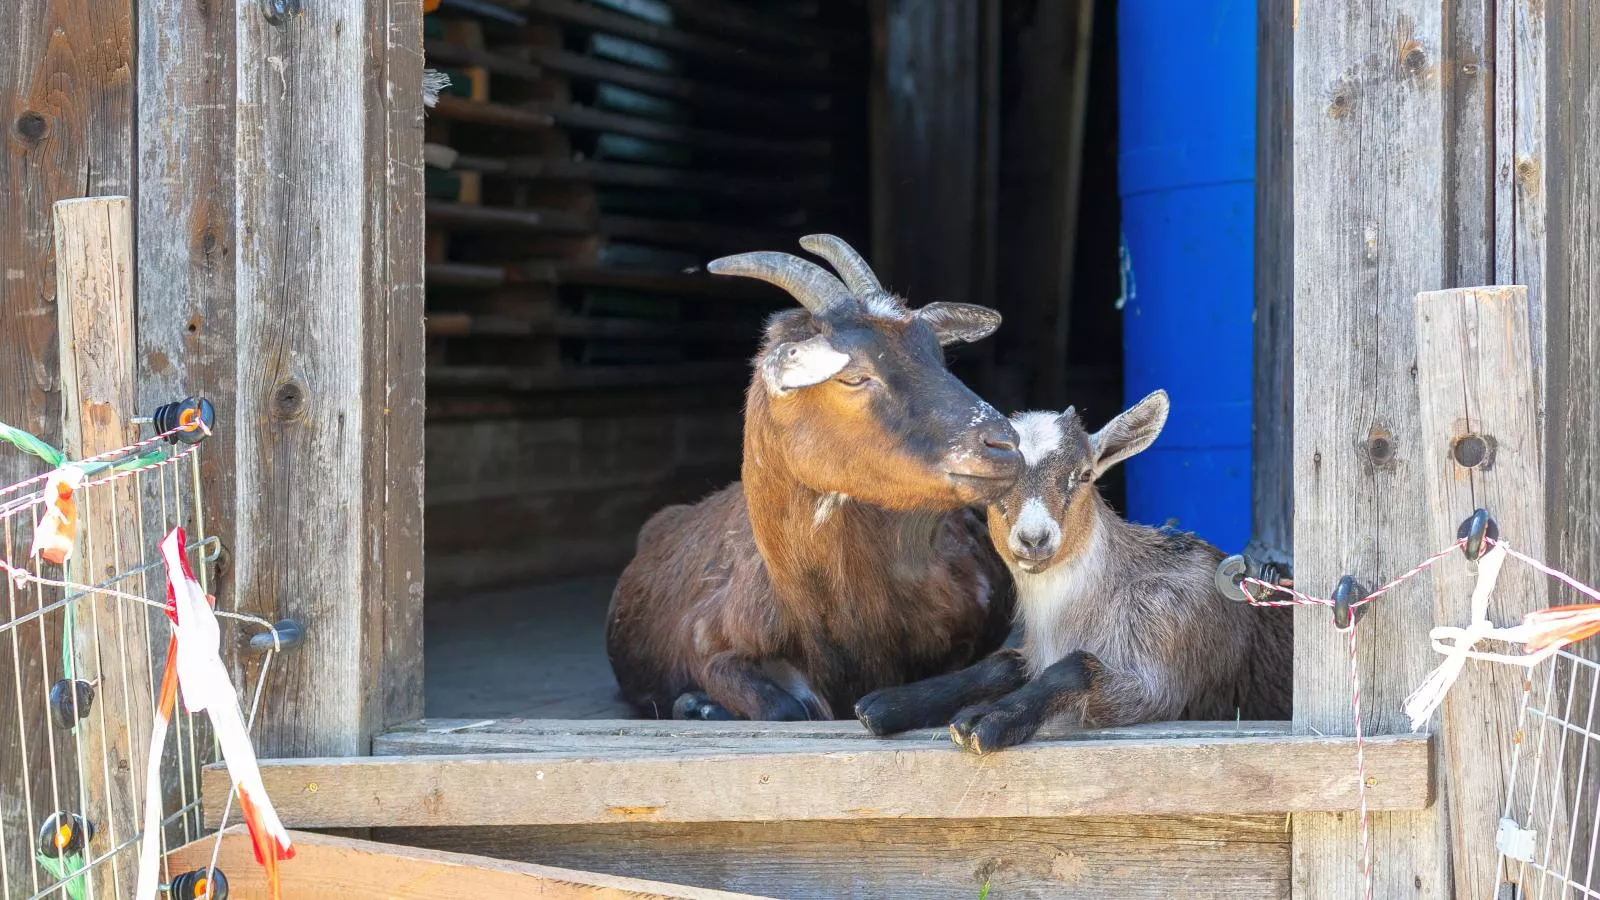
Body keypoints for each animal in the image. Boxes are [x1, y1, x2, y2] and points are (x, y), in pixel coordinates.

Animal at [601, 235, 1024, 717]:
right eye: (853, 376)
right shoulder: (709, 639)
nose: (1003, 444)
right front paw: (700, 704)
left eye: (938, 357)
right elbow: (781, 707)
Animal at [857, 389, 1292, 746]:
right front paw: (886, 704)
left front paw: (986, 720)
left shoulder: (1163, 652)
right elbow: (1002, 664)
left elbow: (1078, 667)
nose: (1034, 538)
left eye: (1083, 474)